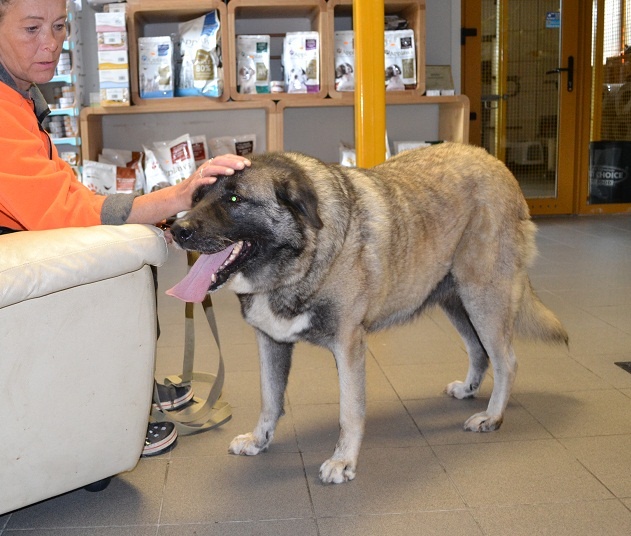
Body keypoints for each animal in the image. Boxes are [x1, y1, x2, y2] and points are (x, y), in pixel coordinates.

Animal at [167, 143, 568, 484]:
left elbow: (350, 411)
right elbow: (270, 399)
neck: (302, 257)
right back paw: (469, 389)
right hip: (457, 302)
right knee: (479, 350)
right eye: (197, 196)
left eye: (235, 198)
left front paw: (343, 461)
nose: (177, 229)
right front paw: (259, 440)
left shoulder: (349, 346)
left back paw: (492, 417)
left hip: (483, 297)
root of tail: (494, 161)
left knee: (506, 361)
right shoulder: (270, 342)